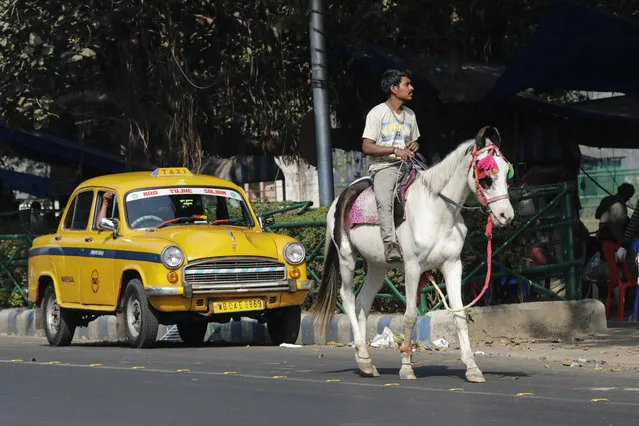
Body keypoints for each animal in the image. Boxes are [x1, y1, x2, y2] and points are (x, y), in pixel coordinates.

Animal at [312, 126, 516, 382]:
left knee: (363, 302)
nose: (505, 215)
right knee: (347, 297)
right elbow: (409, 316)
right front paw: (407, 367)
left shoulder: (453, 265)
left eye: (507, 173)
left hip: (378, 267)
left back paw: (365, 361)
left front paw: (472, 367)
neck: (438, 211)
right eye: (485, 176)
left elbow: (459, 315)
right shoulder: (412, 267)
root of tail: (342, 196)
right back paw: (364, 355)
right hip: (347, 257)